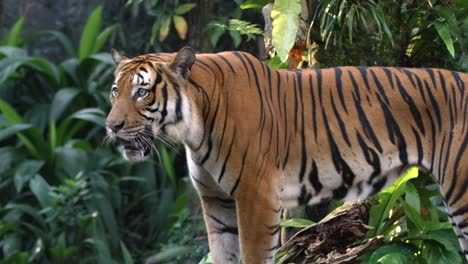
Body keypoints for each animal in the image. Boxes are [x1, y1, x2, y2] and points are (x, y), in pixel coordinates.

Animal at [106, 46, 468, 262]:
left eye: (142, 92)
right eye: (114, 91)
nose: (111, 126)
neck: (194, 129)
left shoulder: (256, 196)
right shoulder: (216, 200)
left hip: (461, 193)